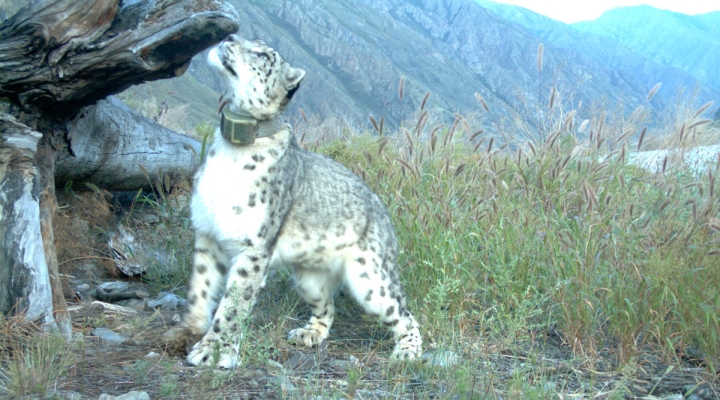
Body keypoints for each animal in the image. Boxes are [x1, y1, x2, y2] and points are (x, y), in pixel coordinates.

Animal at [171, 34, 420, 368]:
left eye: (263, 55)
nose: (230, 37)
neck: (230, 149)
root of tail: (384, 212)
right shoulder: (207, 233)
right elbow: (201, 287)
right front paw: (187, 331)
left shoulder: (253, 246)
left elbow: (233, 303)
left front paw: (214, 350)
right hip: (309, 281)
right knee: (328, 307)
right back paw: (309, 334)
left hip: (370, 279)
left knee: (403, 313)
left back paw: (408, 351)